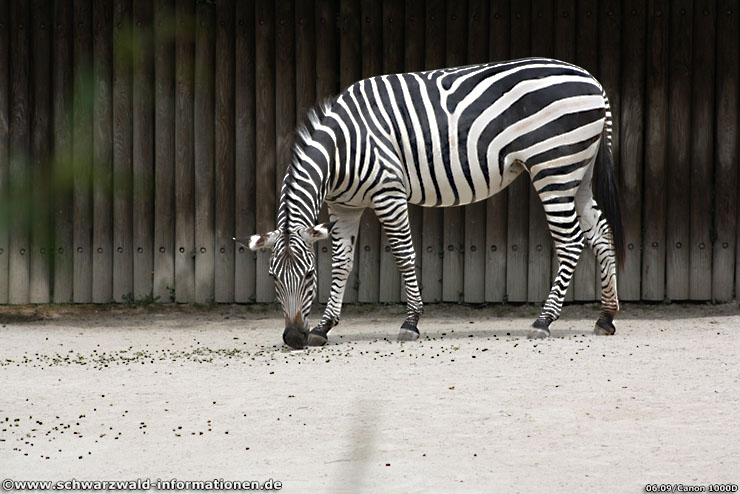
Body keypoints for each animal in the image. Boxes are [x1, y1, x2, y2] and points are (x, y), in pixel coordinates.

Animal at [240, 57, 624, 350]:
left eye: (307, 275)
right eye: (273, 277)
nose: (293, 338)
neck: (342, 150)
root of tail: (592, 80)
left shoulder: (388, 192)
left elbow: (403, 254)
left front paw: (410, 322)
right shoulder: (344, 207)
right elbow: (341, 265)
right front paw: (324, 327)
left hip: (554, 167)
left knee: (571, 240)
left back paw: (544, 321)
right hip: (579, 171)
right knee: (601, 232)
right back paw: (605, 317)